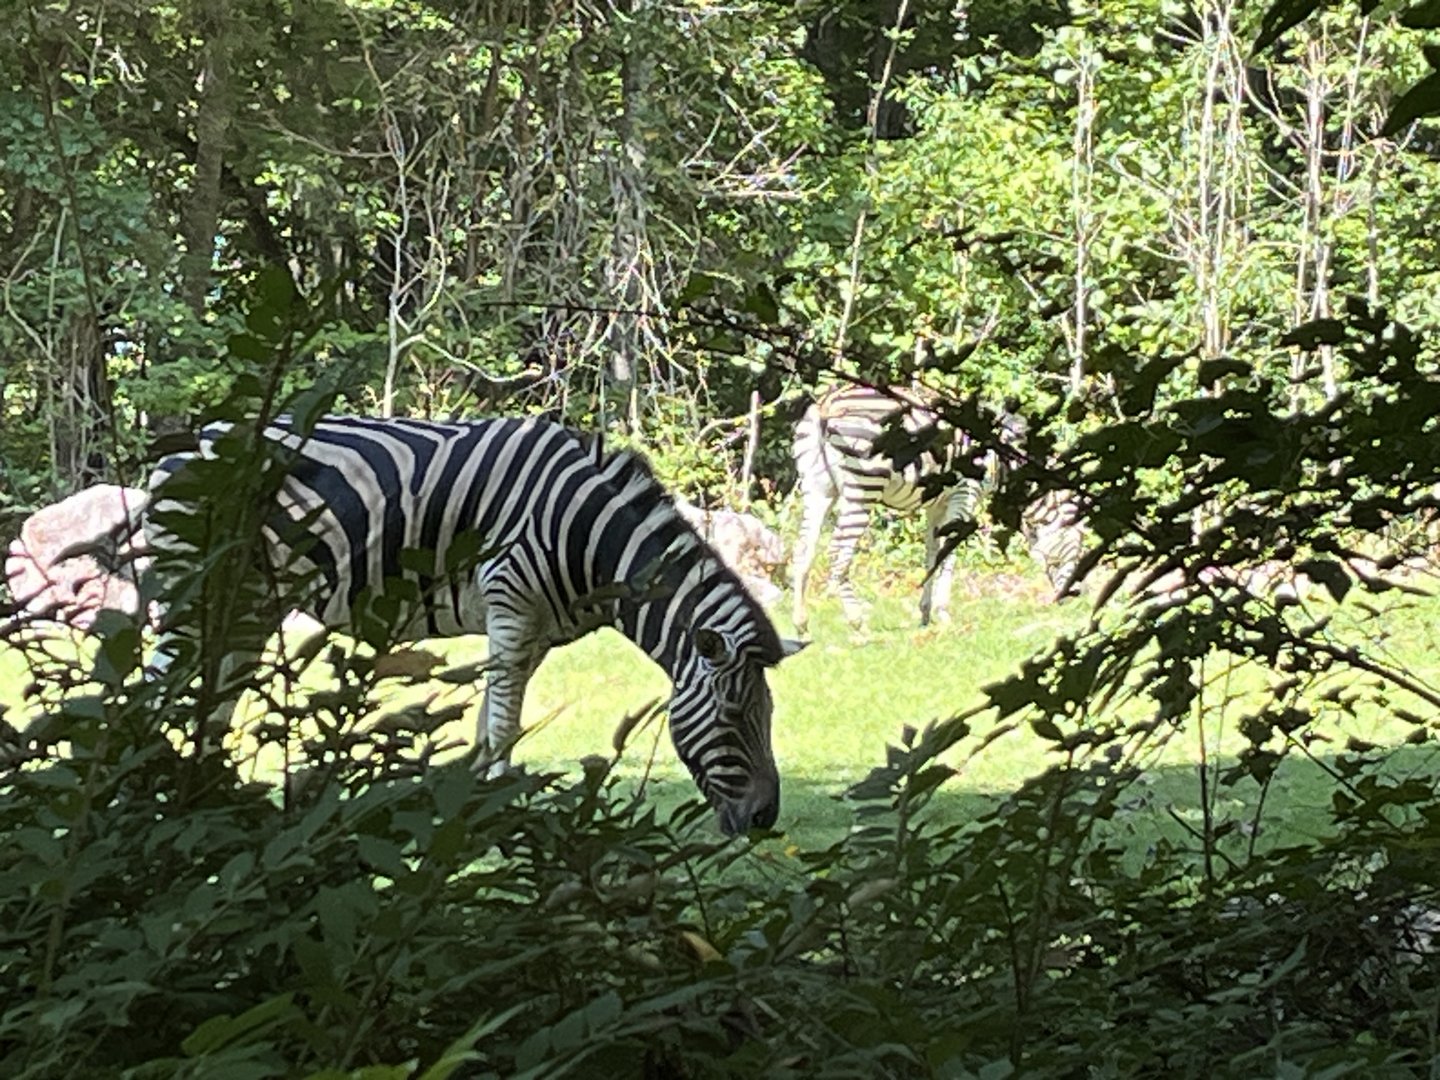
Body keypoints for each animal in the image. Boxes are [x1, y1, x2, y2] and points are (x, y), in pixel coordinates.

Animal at [141, 414, 805, 835]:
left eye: (772, 715)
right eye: (733, 716)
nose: (765, 819)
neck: (590, 539)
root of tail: (189, 439)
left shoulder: (533, 631)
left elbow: (493, 721)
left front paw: (475, 799)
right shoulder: (510, 604)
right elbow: (505, 722)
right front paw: (494, 807)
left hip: (249, 604)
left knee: (217, 694)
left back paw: (212, 796)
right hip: (190, 588)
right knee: (157, 687)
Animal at [790, 385, 1003, 632]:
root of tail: (826, 403)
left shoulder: (936, 506)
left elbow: (932, 554)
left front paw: (925, 613)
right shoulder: (965, 493)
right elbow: (948, 553)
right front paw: (943, 613)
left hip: (817, 488)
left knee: (803, 548)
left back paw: (801, 623)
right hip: (864, 484)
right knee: (837, 550)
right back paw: (857, 621)